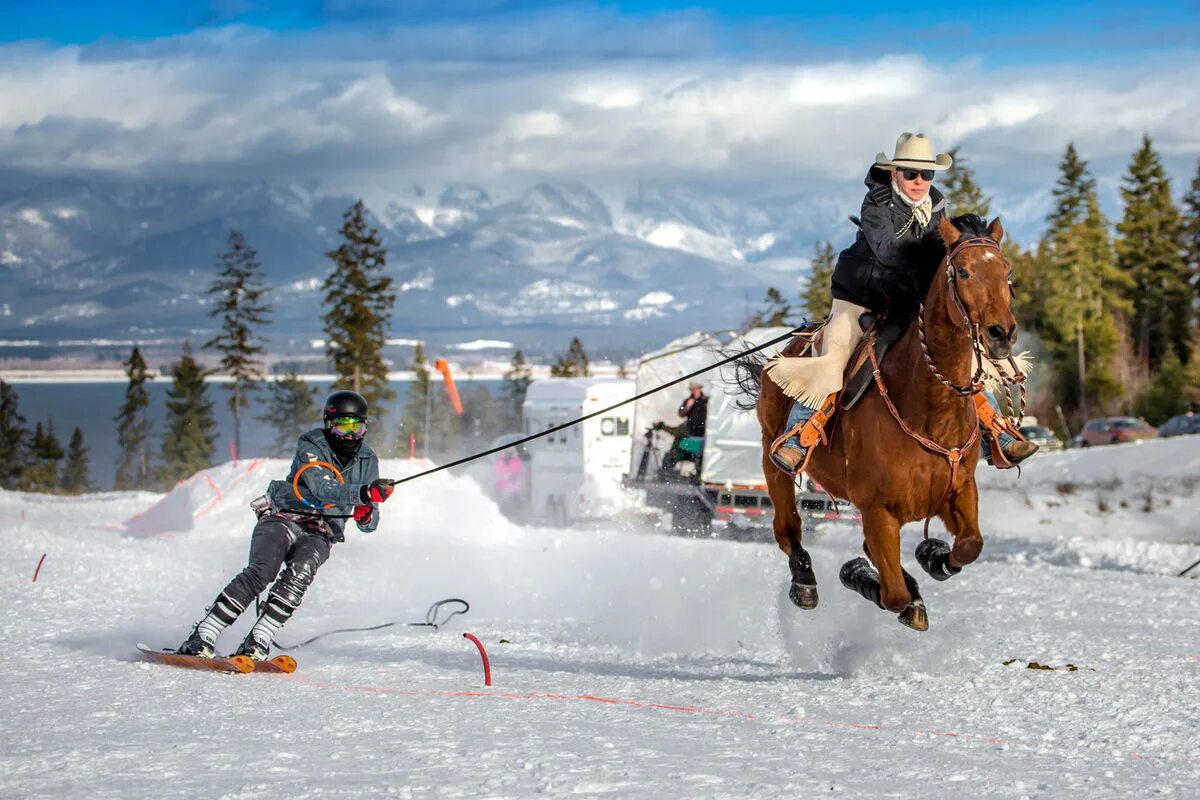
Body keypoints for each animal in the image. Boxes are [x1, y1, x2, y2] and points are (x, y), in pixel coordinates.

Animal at [734, 214, 1017, 633]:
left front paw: (932, 555)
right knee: (787, 527)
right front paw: (860, 575)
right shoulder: (877, 510)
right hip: (773, 460)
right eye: (963, 271)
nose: (1002, 333)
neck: (928, 409)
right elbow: (893, 592)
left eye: (1007, 271)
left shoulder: (960, 489)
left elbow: (969, 546)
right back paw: (804, 581)